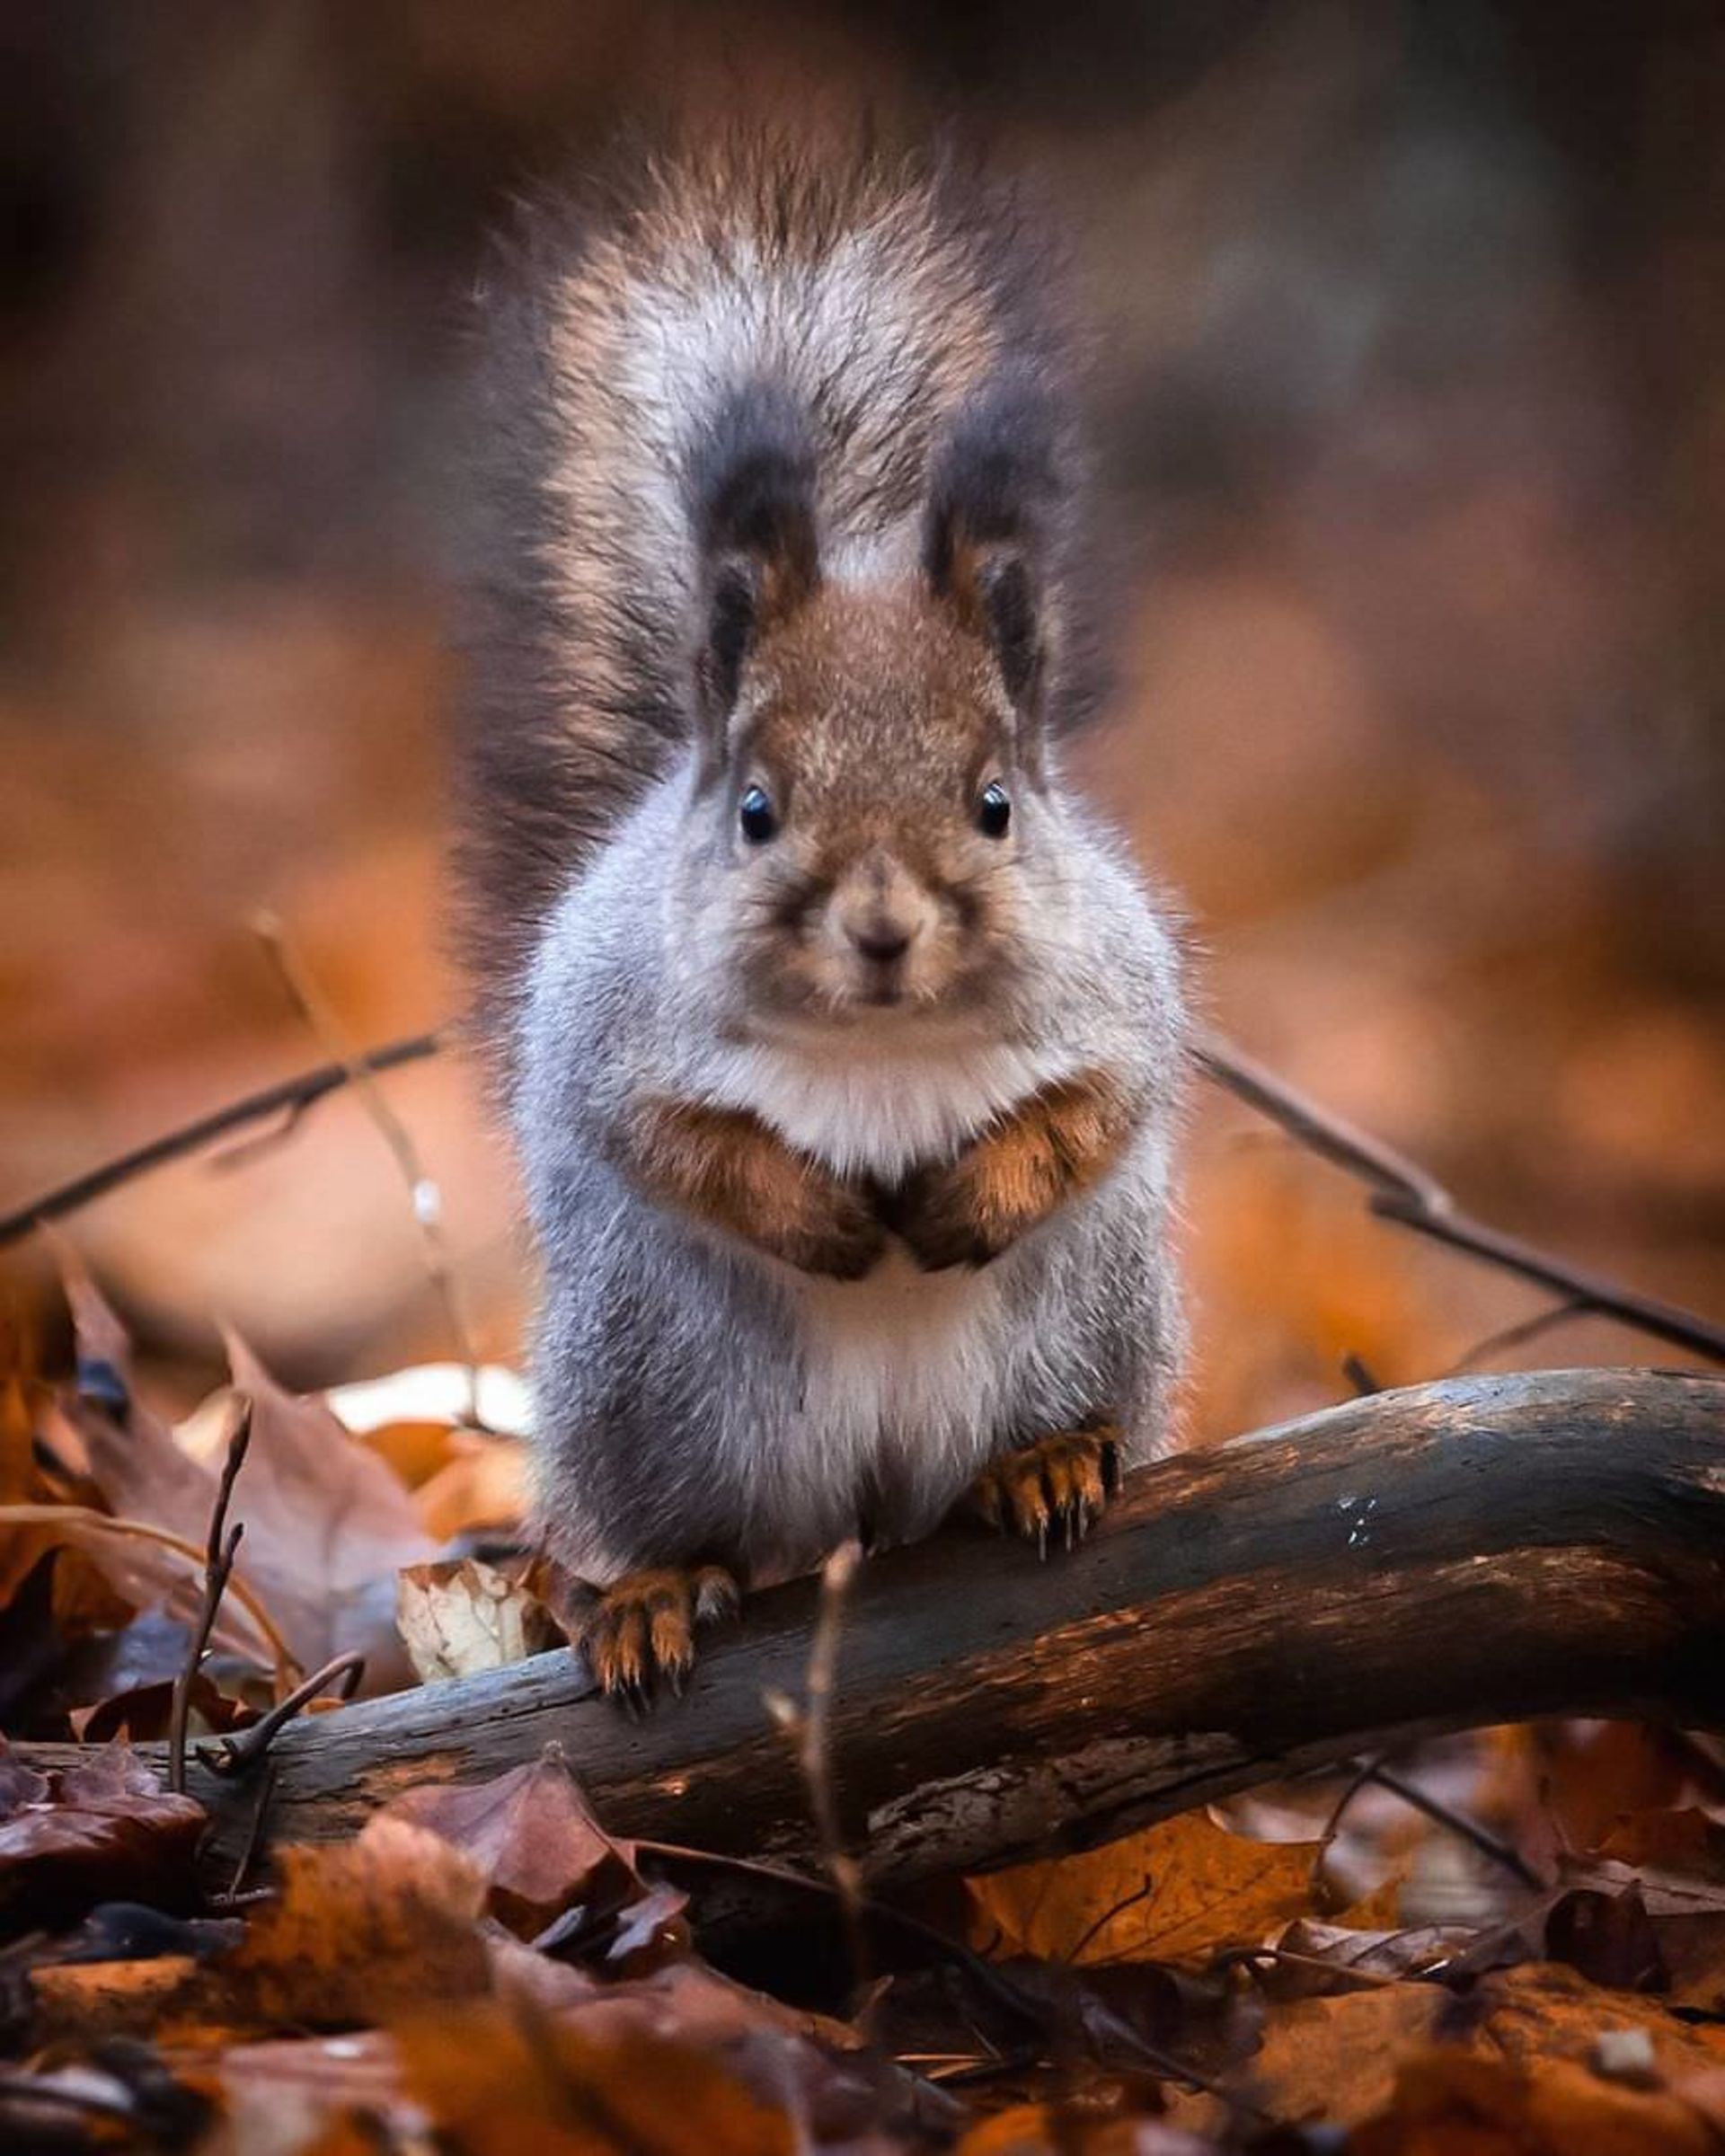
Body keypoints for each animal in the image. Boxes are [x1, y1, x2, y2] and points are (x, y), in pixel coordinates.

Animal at [450, 126, 1190, 1707]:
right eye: (755, 810)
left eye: (996, 803)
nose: (885, 929)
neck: (880, 1045)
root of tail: (872, 1501)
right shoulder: (609, 1026)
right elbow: (663, 1139)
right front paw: (824, 1215)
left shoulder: (1123, 992)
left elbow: (1103, 1107)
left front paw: (972, 1192)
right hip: (654, 1383)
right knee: (701, 1528)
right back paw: (655, 1592)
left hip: (1084, 1317)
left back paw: (1042, 1463)